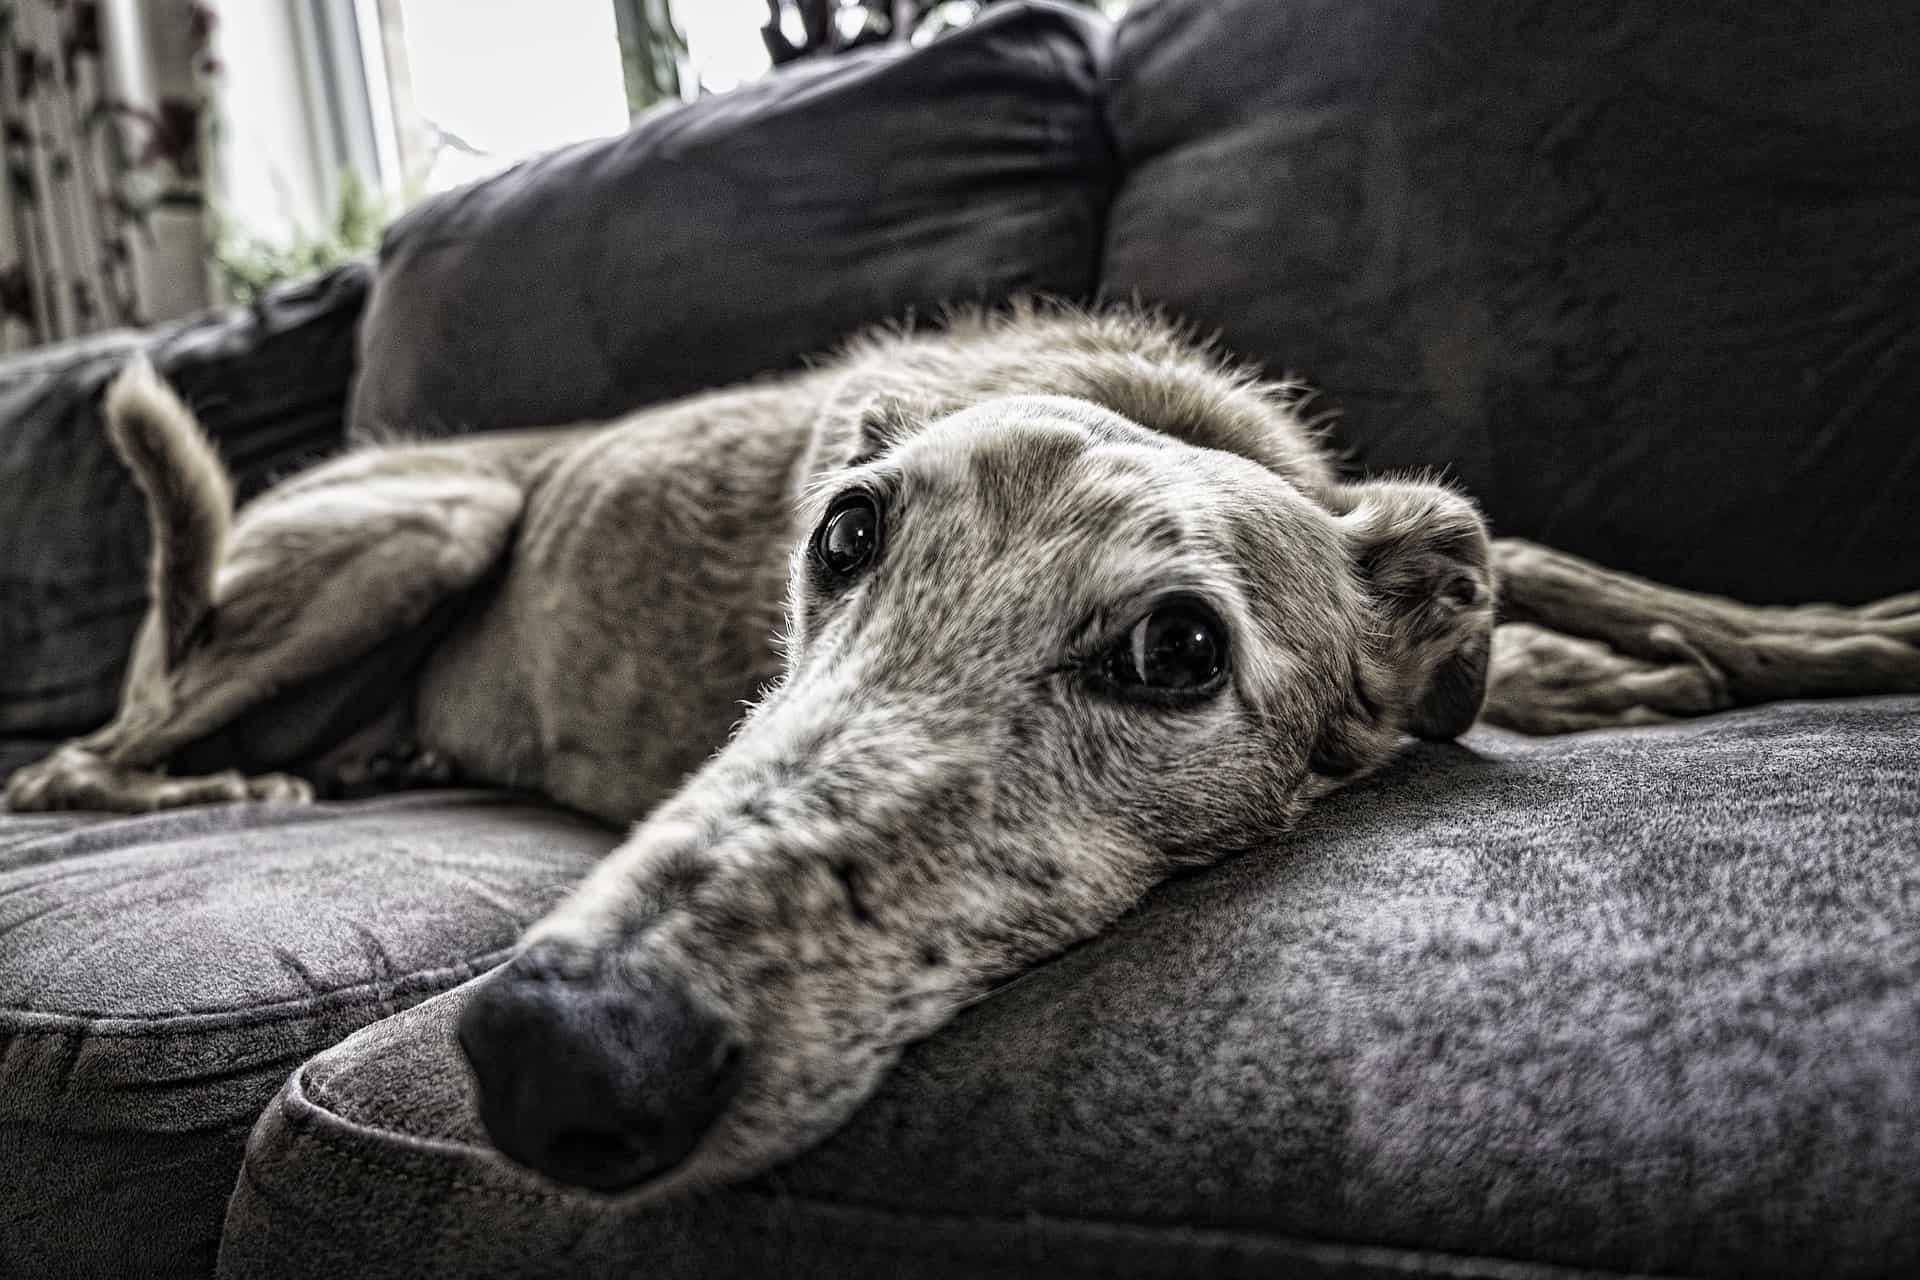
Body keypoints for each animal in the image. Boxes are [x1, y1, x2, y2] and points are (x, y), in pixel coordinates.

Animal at [3, 303, 1920, 1205]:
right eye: (843, 533)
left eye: (1176, 650)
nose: (556, 1052)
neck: (1145, 401)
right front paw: (1614, 676)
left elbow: (1569, 566)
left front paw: (1823, 638)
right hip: (419, 528)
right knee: (77, 762)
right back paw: (225, 781)